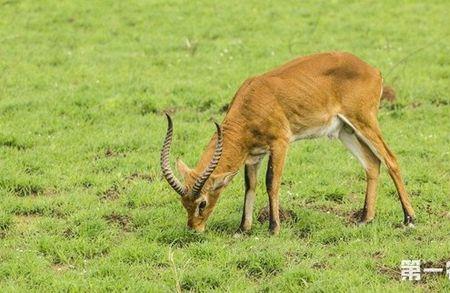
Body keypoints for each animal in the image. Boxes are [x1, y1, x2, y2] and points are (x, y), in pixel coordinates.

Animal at [161, 51, 414, 234]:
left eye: (202, 203)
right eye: (183, 202)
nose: (194, 229)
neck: (253, 101)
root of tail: (372, 70)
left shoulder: (280, 144)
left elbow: (271, 182)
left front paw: (274, 228)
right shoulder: (253, 155)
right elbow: (250, 186)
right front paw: (243, 229)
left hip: (364, 121)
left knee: (390, 159)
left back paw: (409, 219)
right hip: (346, 131)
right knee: (372, 163)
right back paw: (365, 219)